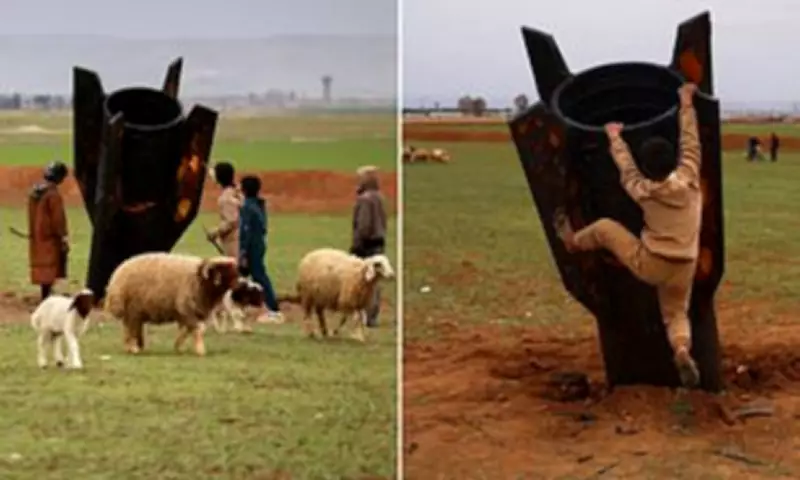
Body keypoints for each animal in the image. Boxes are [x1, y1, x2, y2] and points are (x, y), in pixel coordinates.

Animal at [103, 253, 239, 356]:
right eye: (225, 271)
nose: (239, 284)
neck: (199, 279)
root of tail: (115, 278)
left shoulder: (186, 312)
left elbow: (186, 330)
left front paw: (179, 347)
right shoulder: (187, 308)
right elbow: (197, 330)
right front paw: (200, 351)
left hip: (134, 312)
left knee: (128, 329)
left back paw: (130, 348)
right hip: (132, 310)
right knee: (130, 329)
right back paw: (133, 348)